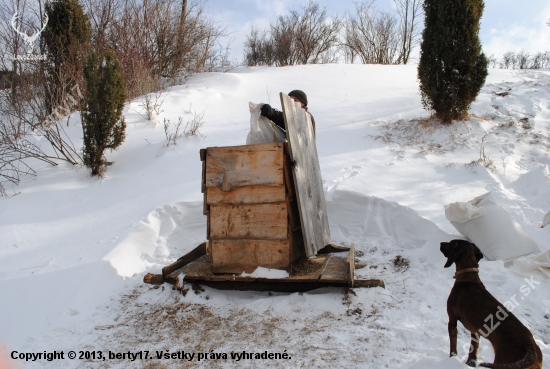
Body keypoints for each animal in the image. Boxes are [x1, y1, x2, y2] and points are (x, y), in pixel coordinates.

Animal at [442, 237, 544, 366]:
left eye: (450, 243)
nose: (441, 244)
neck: (468, 278)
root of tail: (530, 348)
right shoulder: (475, 330)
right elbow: (473, 351)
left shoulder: (452, 319)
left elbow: (453, 347)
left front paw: (451, 359)